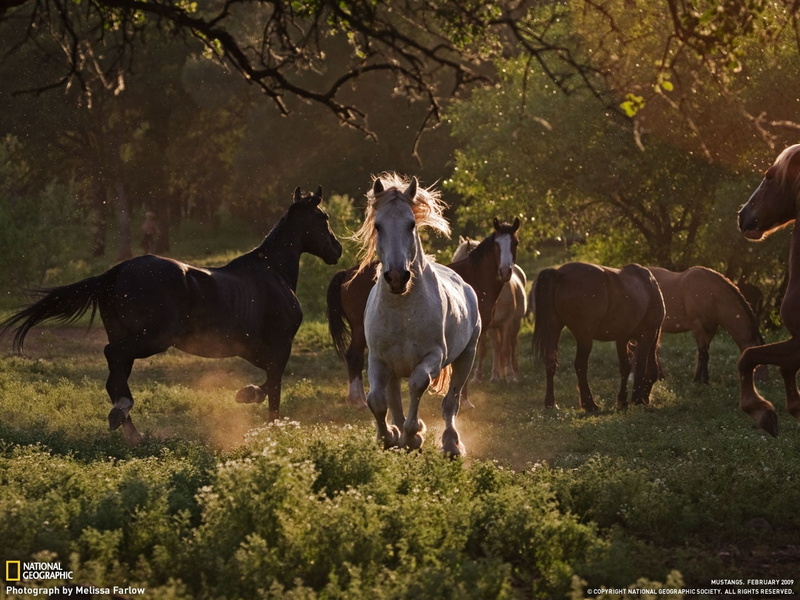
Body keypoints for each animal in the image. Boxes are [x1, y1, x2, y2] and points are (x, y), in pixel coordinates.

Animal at [0, 187, 342, 444]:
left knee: (116, 375)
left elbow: (272, 383)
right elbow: (273, 387)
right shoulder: (280, 346)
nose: (337, 249)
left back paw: (130, 431)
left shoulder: (257, 351)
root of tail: (115, 272)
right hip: (153, 339)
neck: (273, 274)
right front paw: (257, 409)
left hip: (132, 337)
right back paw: (123, 414)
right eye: (323, 218)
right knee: (113, 358)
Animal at [327, 218, 519, 405]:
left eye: (515, 243)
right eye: (497, 245)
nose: (505, 271)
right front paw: (464, 401)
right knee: (354, 356)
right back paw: (357, 400)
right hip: (360, 330)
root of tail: (347, 273)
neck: (474, 279)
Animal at [354, 173, 481, 456]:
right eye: (378, 225)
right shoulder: (378, 360)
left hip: (466, 357)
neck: (403, 312)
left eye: (411, 224)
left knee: (451, 402)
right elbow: (376, 400)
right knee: (393, 400)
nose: (397, 277)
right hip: (393, 369)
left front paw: (413, 435)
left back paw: (451, 444)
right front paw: (388, 437)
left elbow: (417, 384)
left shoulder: (433, 356)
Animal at [452, 237, 527, 382]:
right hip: (494, 327)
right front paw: (477, 377)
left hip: (516, 323)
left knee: (512, 344)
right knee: (496, 346)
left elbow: (506, 349)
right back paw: (495, 375)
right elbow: (482, 350)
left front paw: (510, 376)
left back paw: (515, 371)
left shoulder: (508, 322)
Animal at [532, 262, 664, 411]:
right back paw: (589, 404)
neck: (649, 287)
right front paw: (637, 399)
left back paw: (551, 403)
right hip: (584, 337)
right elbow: (642, 367)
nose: (646, 400)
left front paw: (623, 400)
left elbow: (625, 368)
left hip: (554, 329)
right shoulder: (648, 334)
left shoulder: (622, 338)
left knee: (550, 363)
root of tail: (560, 274)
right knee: (580, 365)